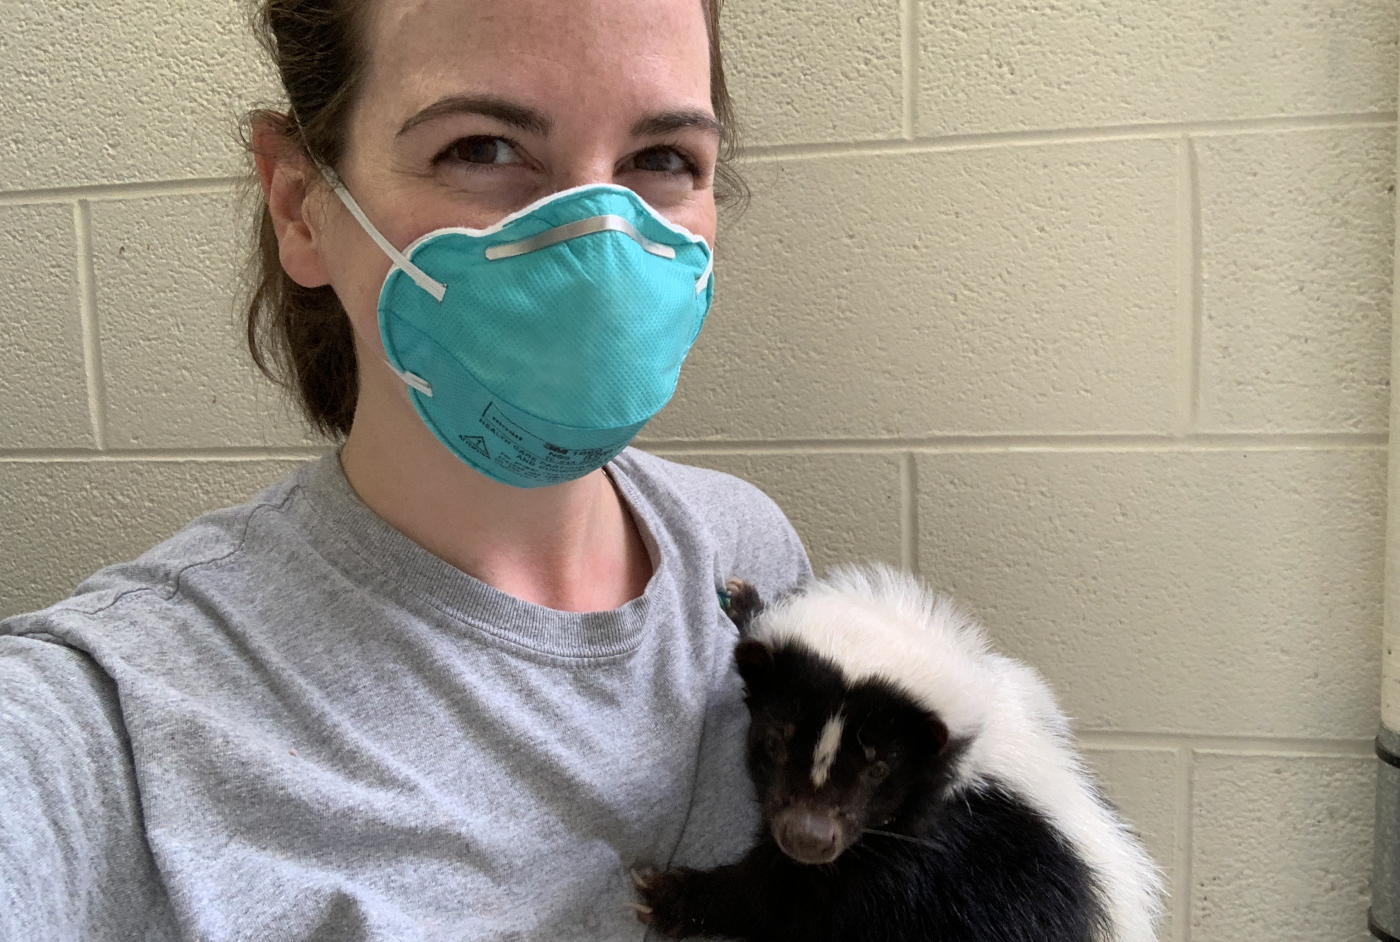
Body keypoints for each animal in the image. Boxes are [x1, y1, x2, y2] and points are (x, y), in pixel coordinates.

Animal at [635, 565, 1159, 940]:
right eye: (776, 738)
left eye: (880, 768)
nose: (808, 837)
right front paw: (745, 603)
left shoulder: (933, 862)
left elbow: (784, 900)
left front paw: (671, 895)